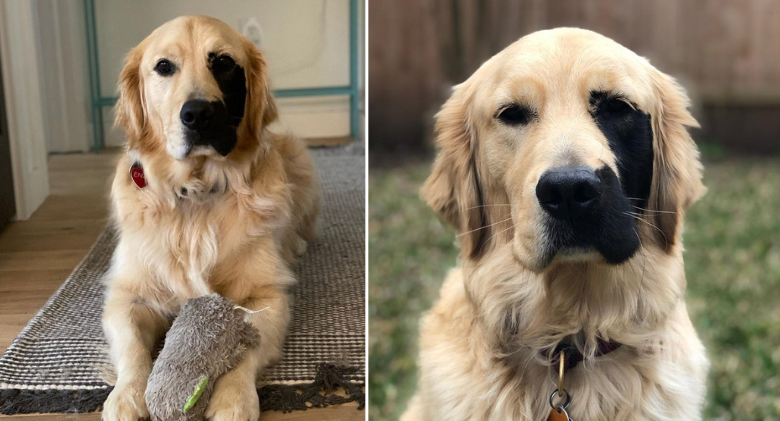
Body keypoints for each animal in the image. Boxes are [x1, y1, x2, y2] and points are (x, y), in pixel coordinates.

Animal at [100, 14, 320, 418]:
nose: (199, 114)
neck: (197, 191)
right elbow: (133, 349)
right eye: (164, 66)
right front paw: (126, 397)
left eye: (224, 63)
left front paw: (234, 398)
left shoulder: (265, 295)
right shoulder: (127, 295)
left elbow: (246, 344)